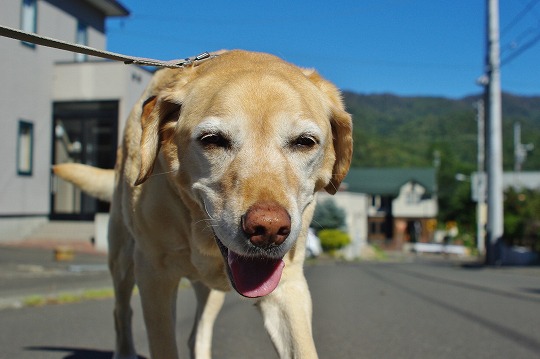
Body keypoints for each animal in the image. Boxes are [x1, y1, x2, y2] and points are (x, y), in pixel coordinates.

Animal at [53, 50, 350, 359]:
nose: (268, 229)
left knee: (197, 333)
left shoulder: (288, 284)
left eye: (304, 142)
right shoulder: (154, 275)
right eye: (213, 140)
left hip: (211, 291)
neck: (198, 230)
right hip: (122, 257)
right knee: (121, 311)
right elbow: (163, 346)